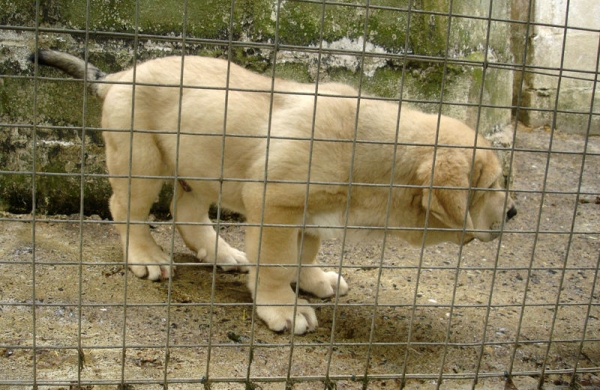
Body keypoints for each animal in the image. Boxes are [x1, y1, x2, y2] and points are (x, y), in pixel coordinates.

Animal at [30, 48, 516, 334]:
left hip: (201, 166)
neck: (375, 157)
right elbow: (279, 263)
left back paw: (222, 253)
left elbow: (306, 254)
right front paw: (283, 308)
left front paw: (315, 281)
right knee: (126, 209)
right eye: (491, 186)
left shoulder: (309, 218)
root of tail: (119, 75)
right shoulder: (277, 205)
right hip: (141, 161)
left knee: (187, 213)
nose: (513, 213)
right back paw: (147, 257)